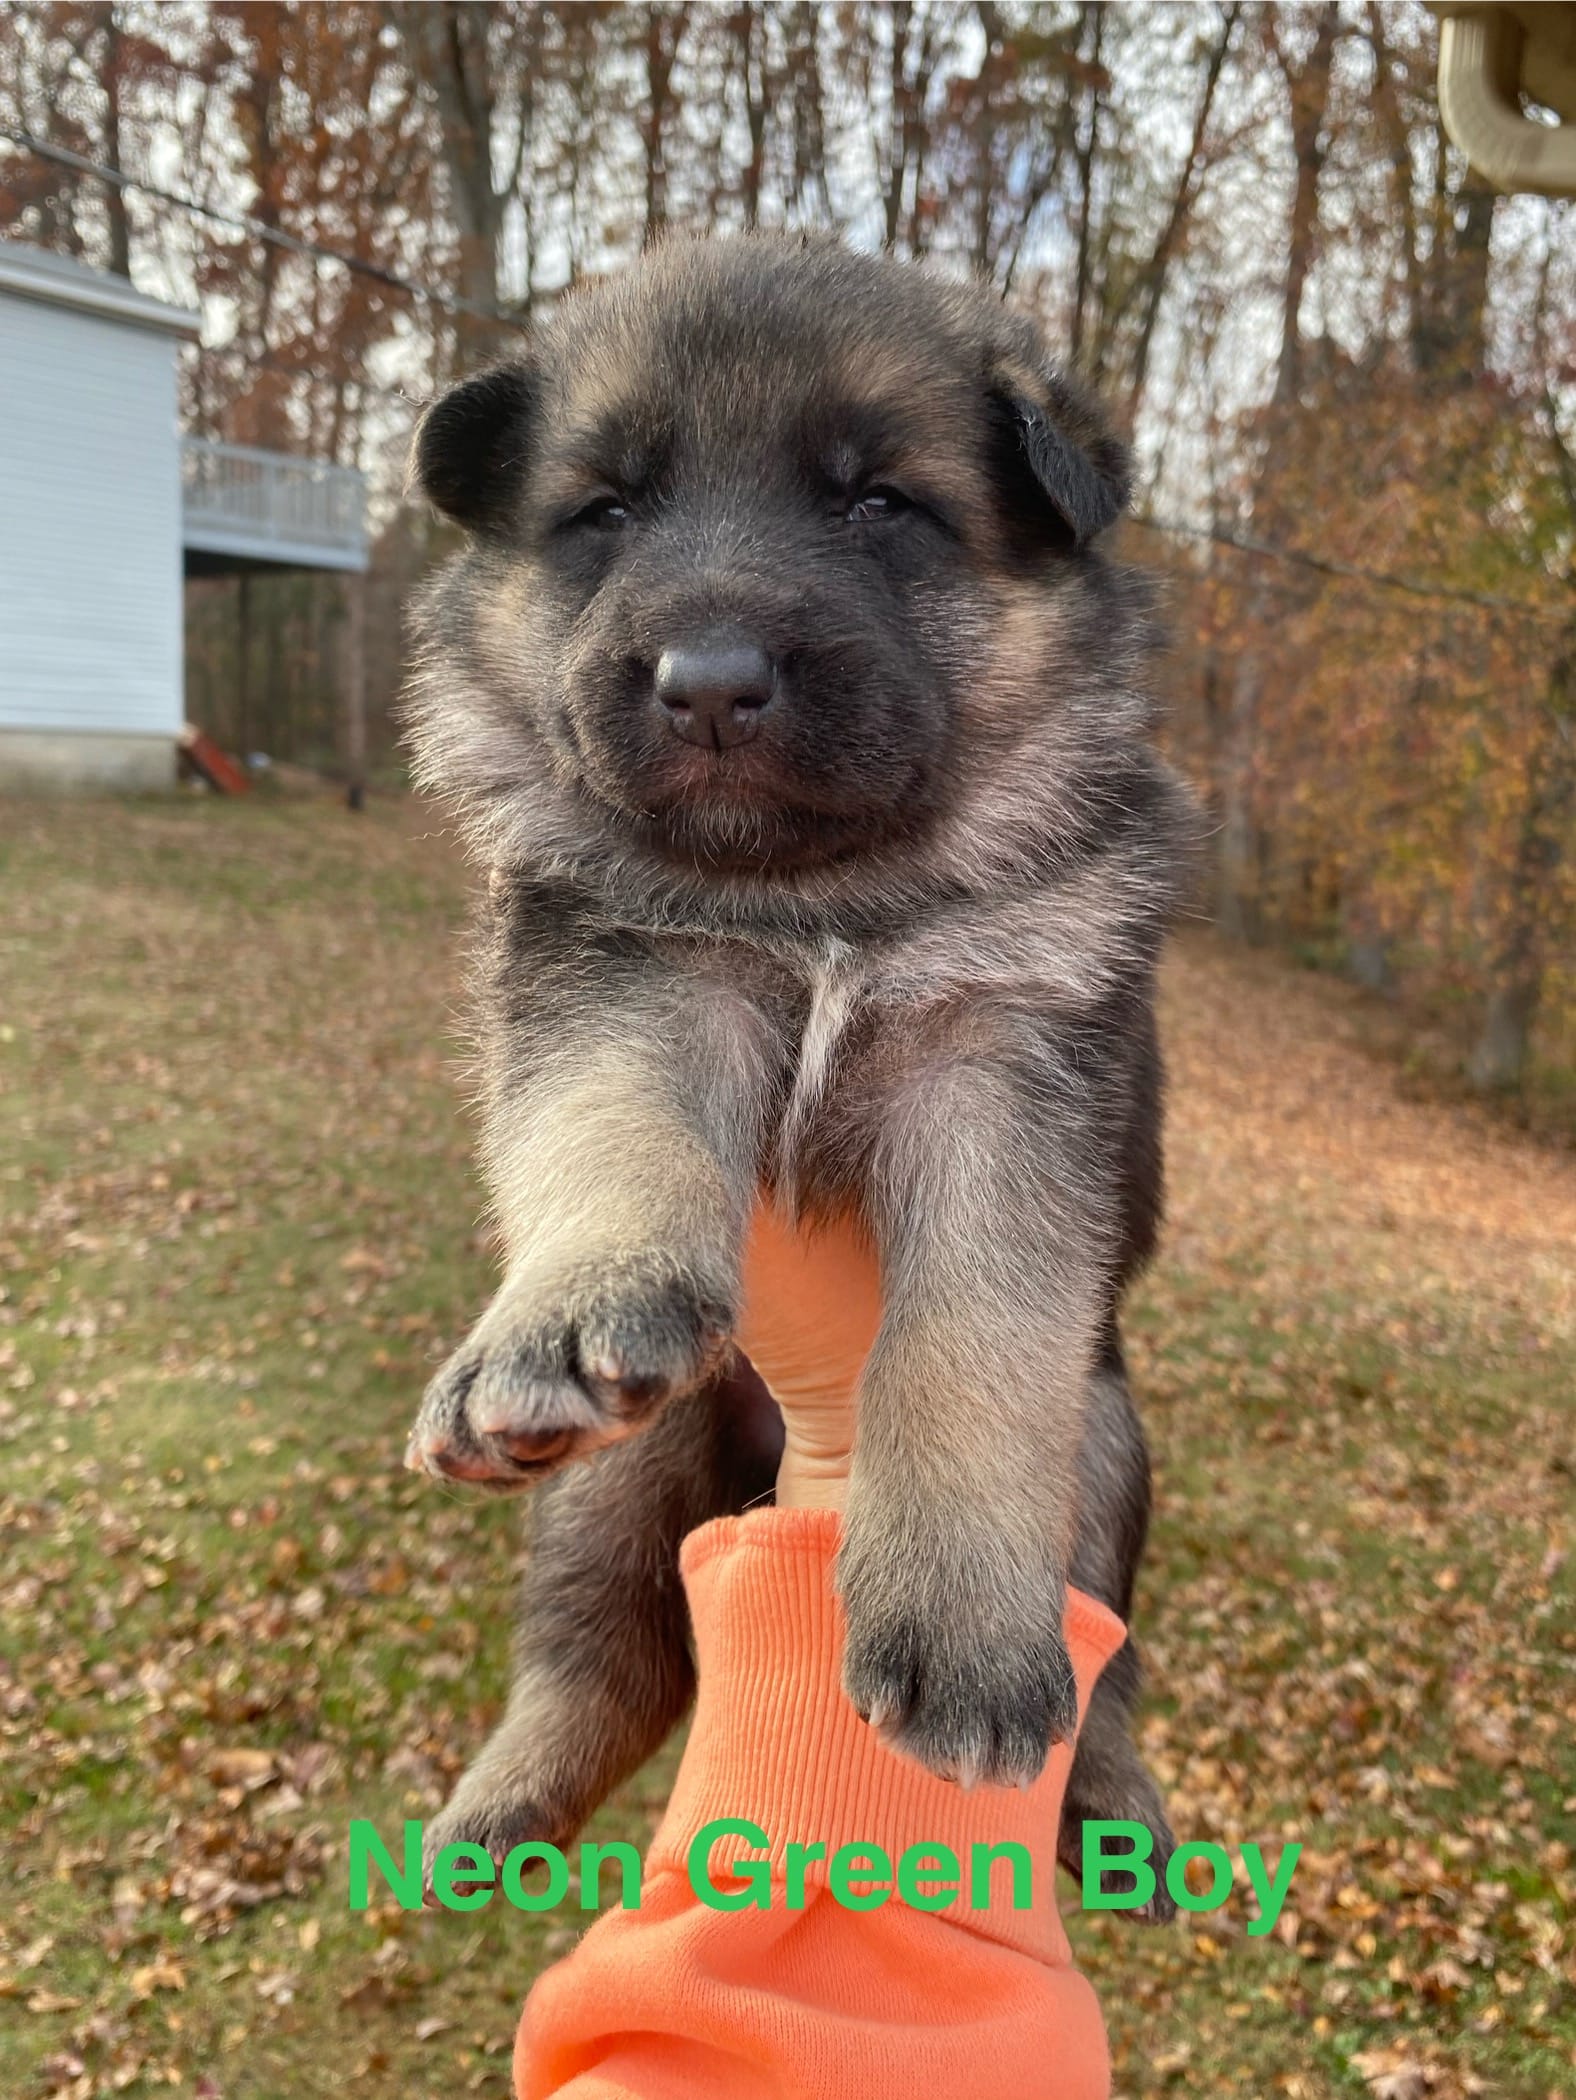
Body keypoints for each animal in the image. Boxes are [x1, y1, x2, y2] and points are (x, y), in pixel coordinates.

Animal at [400, 233, 1195, 1914]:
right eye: (605, 512)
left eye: (877, 503)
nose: (709, 683)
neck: (824, 895)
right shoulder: (621, 963)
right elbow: (609, 1127)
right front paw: (570, 1297)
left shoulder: (1011, 1058)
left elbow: (971, 1335)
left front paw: (960, 1618)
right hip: (623, 1475)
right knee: (598, 1656)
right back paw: (499, 1811)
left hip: (1107, 1451)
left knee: (1109, 1663)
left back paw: (1114, 1805)